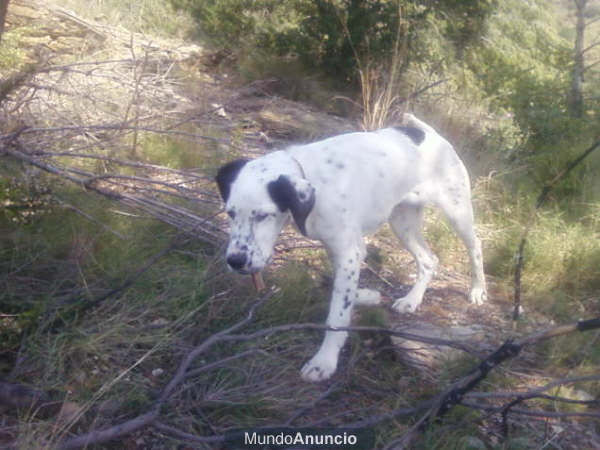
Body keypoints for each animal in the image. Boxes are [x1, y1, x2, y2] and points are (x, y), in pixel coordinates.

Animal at [216, 114, 488, 382]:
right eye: (230, 213)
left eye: (264, 215)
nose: (235, 261)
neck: (314, 181)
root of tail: (434, 135)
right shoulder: (342, 248)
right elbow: (342, 292)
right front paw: (363, 295)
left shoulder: (348, 253)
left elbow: (336, 316)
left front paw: (325, 360)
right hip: (403, 222)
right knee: (429, 260)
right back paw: (412, 300)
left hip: (457, 213)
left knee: (475, 247)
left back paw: (478, 290)